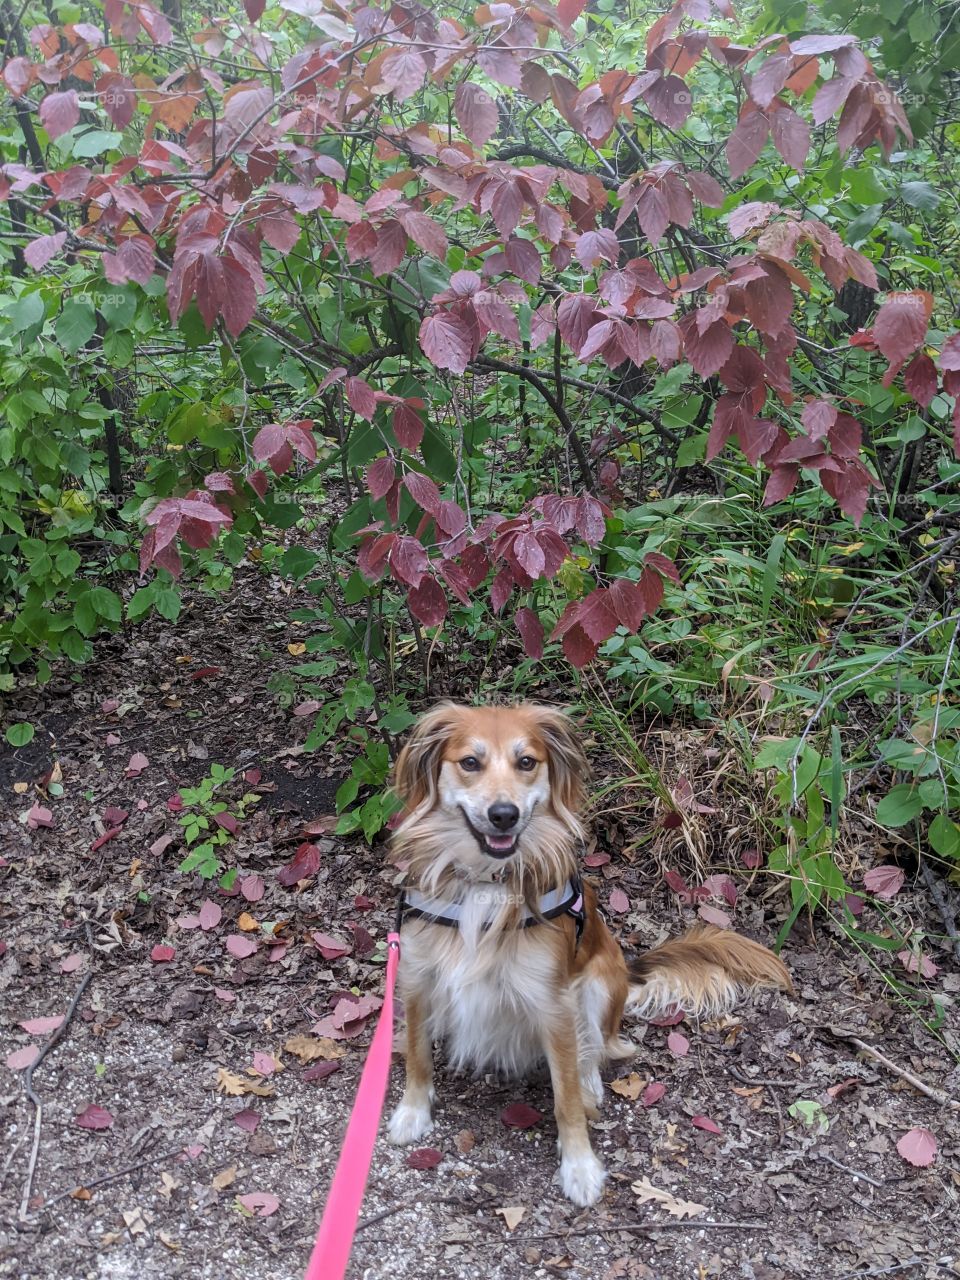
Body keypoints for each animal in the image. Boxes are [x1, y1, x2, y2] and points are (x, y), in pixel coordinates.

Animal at [386, 706, 793, 1203]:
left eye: (526, 762)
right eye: (469, 763)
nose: (504, 815)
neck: (486, 881)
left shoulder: (553, 1001)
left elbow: (566, 1100)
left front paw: (579, 1166)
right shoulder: (418, 978)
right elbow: (417, 1053)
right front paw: (412, 1112)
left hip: (598, 981)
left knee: (596, 1047)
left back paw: (589, 1081)